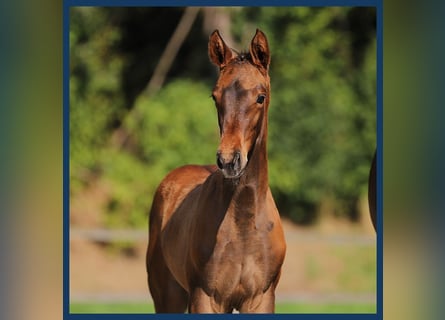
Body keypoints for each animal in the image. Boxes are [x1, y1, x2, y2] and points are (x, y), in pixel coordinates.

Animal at [145, 28, 284, 314]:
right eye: (215, 96)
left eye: (260, 96)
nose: (229, 160)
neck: (243, 224)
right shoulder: (205, 297)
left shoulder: (261, 298)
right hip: (167, 295)